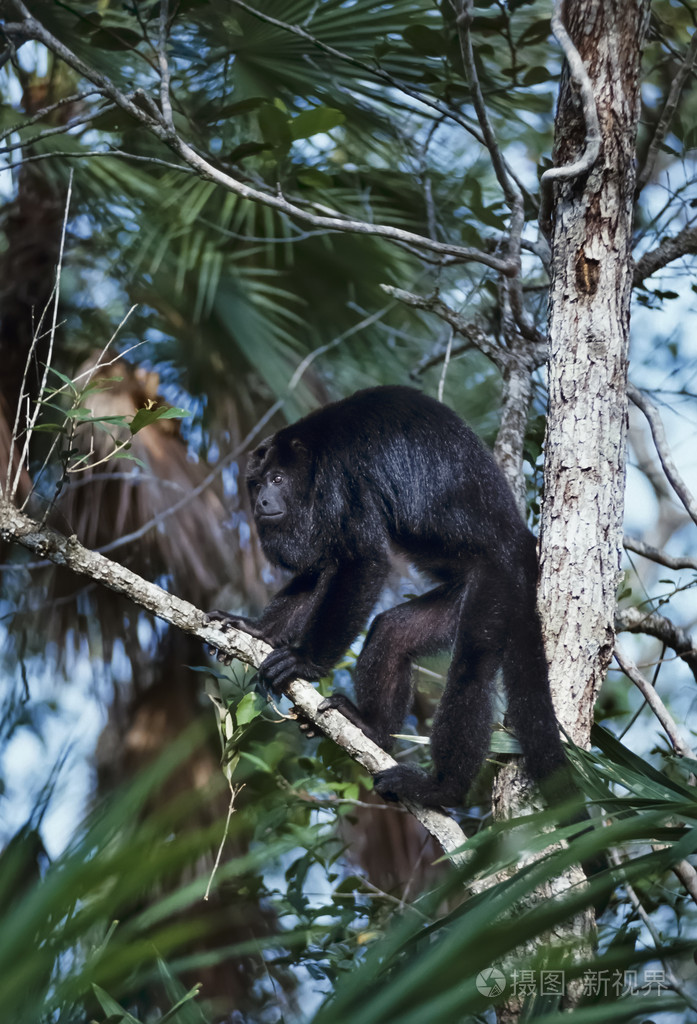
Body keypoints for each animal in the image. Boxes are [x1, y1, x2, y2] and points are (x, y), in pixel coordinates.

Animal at [211, 385, 569, 806]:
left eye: (278, 479)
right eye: (257, 483)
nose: (261, 502)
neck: (312, 458)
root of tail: (522, 543)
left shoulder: (339, 478)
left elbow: (363, 560)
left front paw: (302, 661)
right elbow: (324, 568)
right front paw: (254, 629)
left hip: (497, 581)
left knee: (473, 664)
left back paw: (442, 788)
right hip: (463, 592)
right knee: (392, 631)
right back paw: (372, 729)